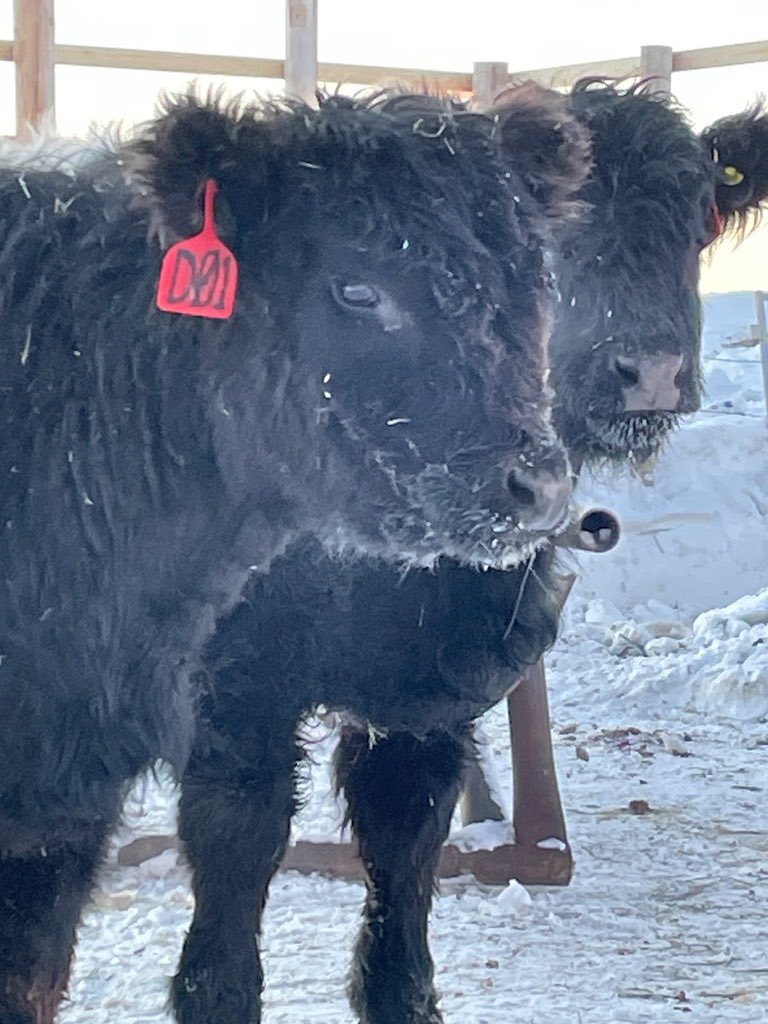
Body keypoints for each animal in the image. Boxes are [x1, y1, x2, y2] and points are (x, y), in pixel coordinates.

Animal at [0, 87, 589, 1024]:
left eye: (533, 281)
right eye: (356, 287)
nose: (536, 483)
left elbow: (403, 842)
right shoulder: (236, 702)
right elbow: (239, 845)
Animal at [169, 82, 768, 1024]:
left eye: (701, 221)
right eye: (553, 233)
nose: (652, 372)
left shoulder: (428, 697)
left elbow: (403, 865)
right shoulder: (236, 694)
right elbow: (235, 871)